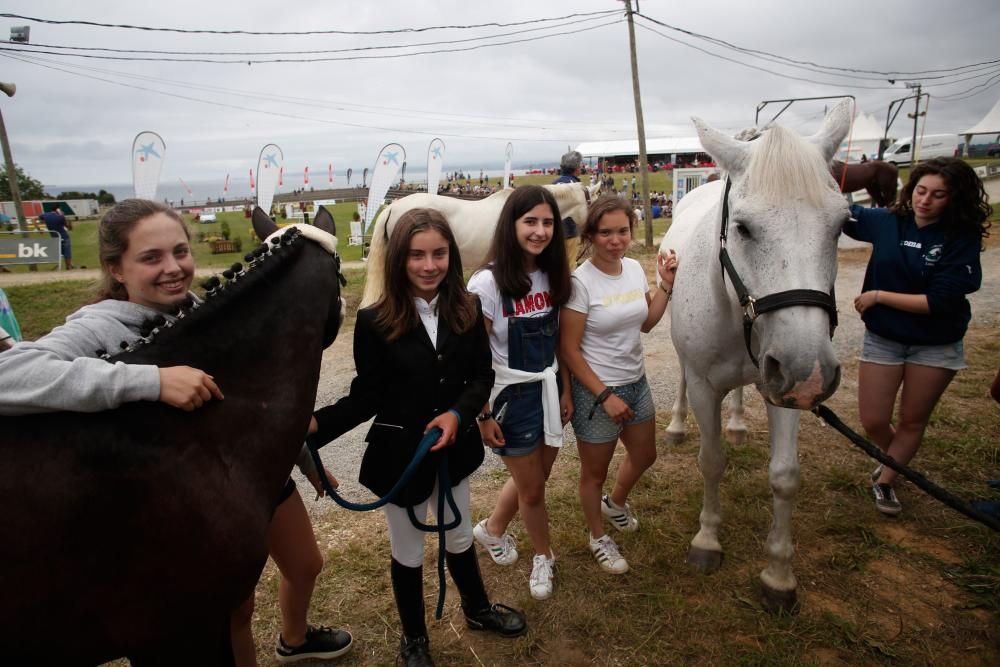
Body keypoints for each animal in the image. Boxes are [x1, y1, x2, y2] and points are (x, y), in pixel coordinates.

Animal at [656, 100, 852, 616]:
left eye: (841, 225)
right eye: (743, 227)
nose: (811, 371)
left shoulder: (785, 390)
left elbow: (784, 476)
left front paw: (778, 576)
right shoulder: (704, 386)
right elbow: (711, 461)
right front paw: (707, 540)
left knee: (743, 391)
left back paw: (741, 423)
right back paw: (677, 426)